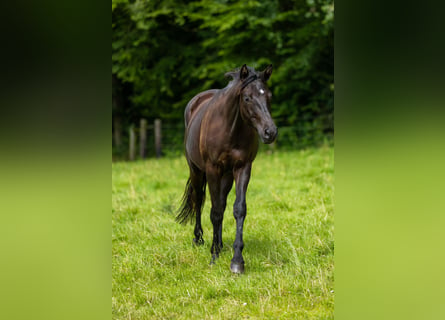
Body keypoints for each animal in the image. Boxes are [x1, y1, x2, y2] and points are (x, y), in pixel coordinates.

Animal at [175, 64, 276, 272]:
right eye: (247, 98)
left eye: (269, 96)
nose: (270, 132)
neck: (231, 129)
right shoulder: (212, 169)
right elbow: (215, 212)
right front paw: (214, 255)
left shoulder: (243, 168)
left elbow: (238, 209)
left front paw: (237, 260)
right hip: (196, 171)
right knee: (199, 199)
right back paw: (199, 239)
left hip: (227, 176)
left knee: (221, 202)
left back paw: (220, 244)